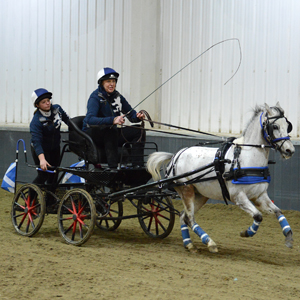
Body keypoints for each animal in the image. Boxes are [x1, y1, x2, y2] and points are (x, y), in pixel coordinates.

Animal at [148, 102, 296, 252]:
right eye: (275, 126)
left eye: (287, 125)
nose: (290, 150)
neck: (246, 158)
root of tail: (175, 156)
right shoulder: (238, 196)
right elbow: (258, 216)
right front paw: (246, 232)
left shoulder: (259, 196)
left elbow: (278, 211)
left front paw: (288, 236)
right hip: (186, 190)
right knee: (190, 218)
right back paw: (209, 242)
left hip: (201, 195)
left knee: (183, 216)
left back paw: (189, 244)